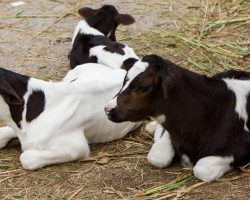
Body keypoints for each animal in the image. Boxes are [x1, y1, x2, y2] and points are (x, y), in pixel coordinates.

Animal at [104, 54, 250, 181]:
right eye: (124, 81)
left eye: (143, 87)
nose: (108, 109)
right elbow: (157, 156)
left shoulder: (239, 149)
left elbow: (202, 169)